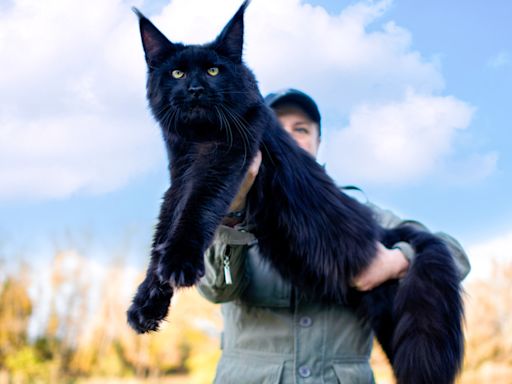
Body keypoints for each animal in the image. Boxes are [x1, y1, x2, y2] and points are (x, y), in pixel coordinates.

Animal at [127, 1, 464, 382]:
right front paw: (146, 303)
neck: (200, 140)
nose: (196, 89)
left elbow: (196, 210)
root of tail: (383, 232)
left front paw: (179, 260)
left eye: (213, 70)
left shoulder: (225, 157)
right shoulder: (180, 175)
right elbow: (163, 232)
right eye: (177, 74)